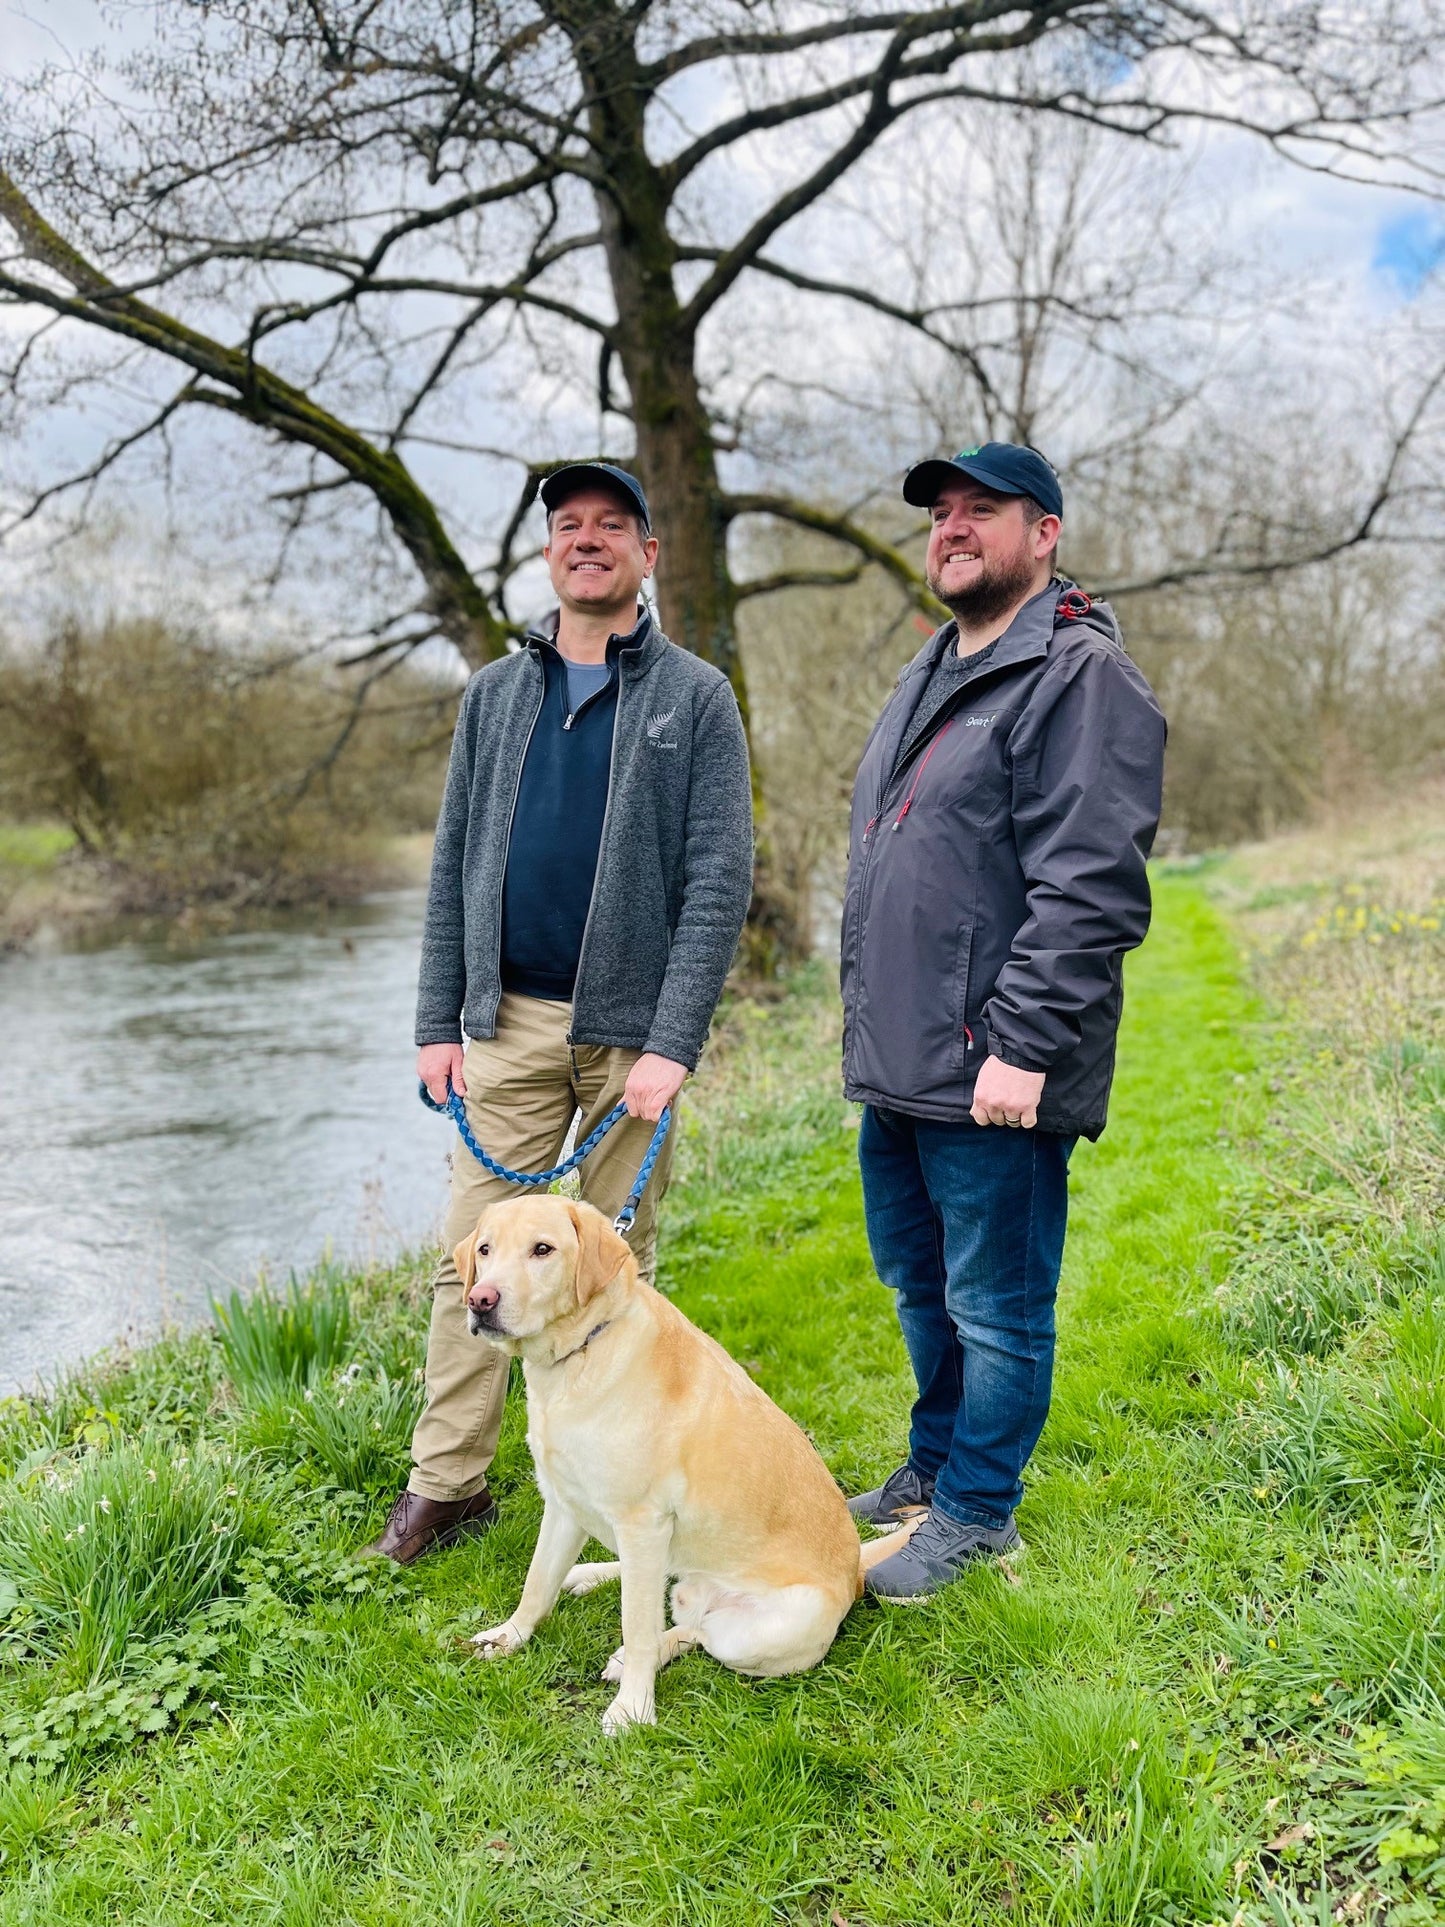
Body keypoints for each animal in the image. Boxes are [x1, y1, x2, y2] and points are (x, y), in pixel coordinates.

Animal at [454, 1187, 905, 1734]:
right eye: (485, 1250)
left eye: (543, 1250)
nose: (480, 1300)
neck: (584, 1350)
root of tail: (857, 1572)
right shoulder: (563, 1504)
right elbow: (537, 1584)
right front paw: (508, 1637)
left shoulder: (641, 1522)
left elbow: (638, 1628)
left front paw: (632, 1707)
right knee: (671, 1607)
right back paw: (590, 1575)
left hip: (758, 1630)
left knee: (691, 1632)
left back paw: (628, 1654)